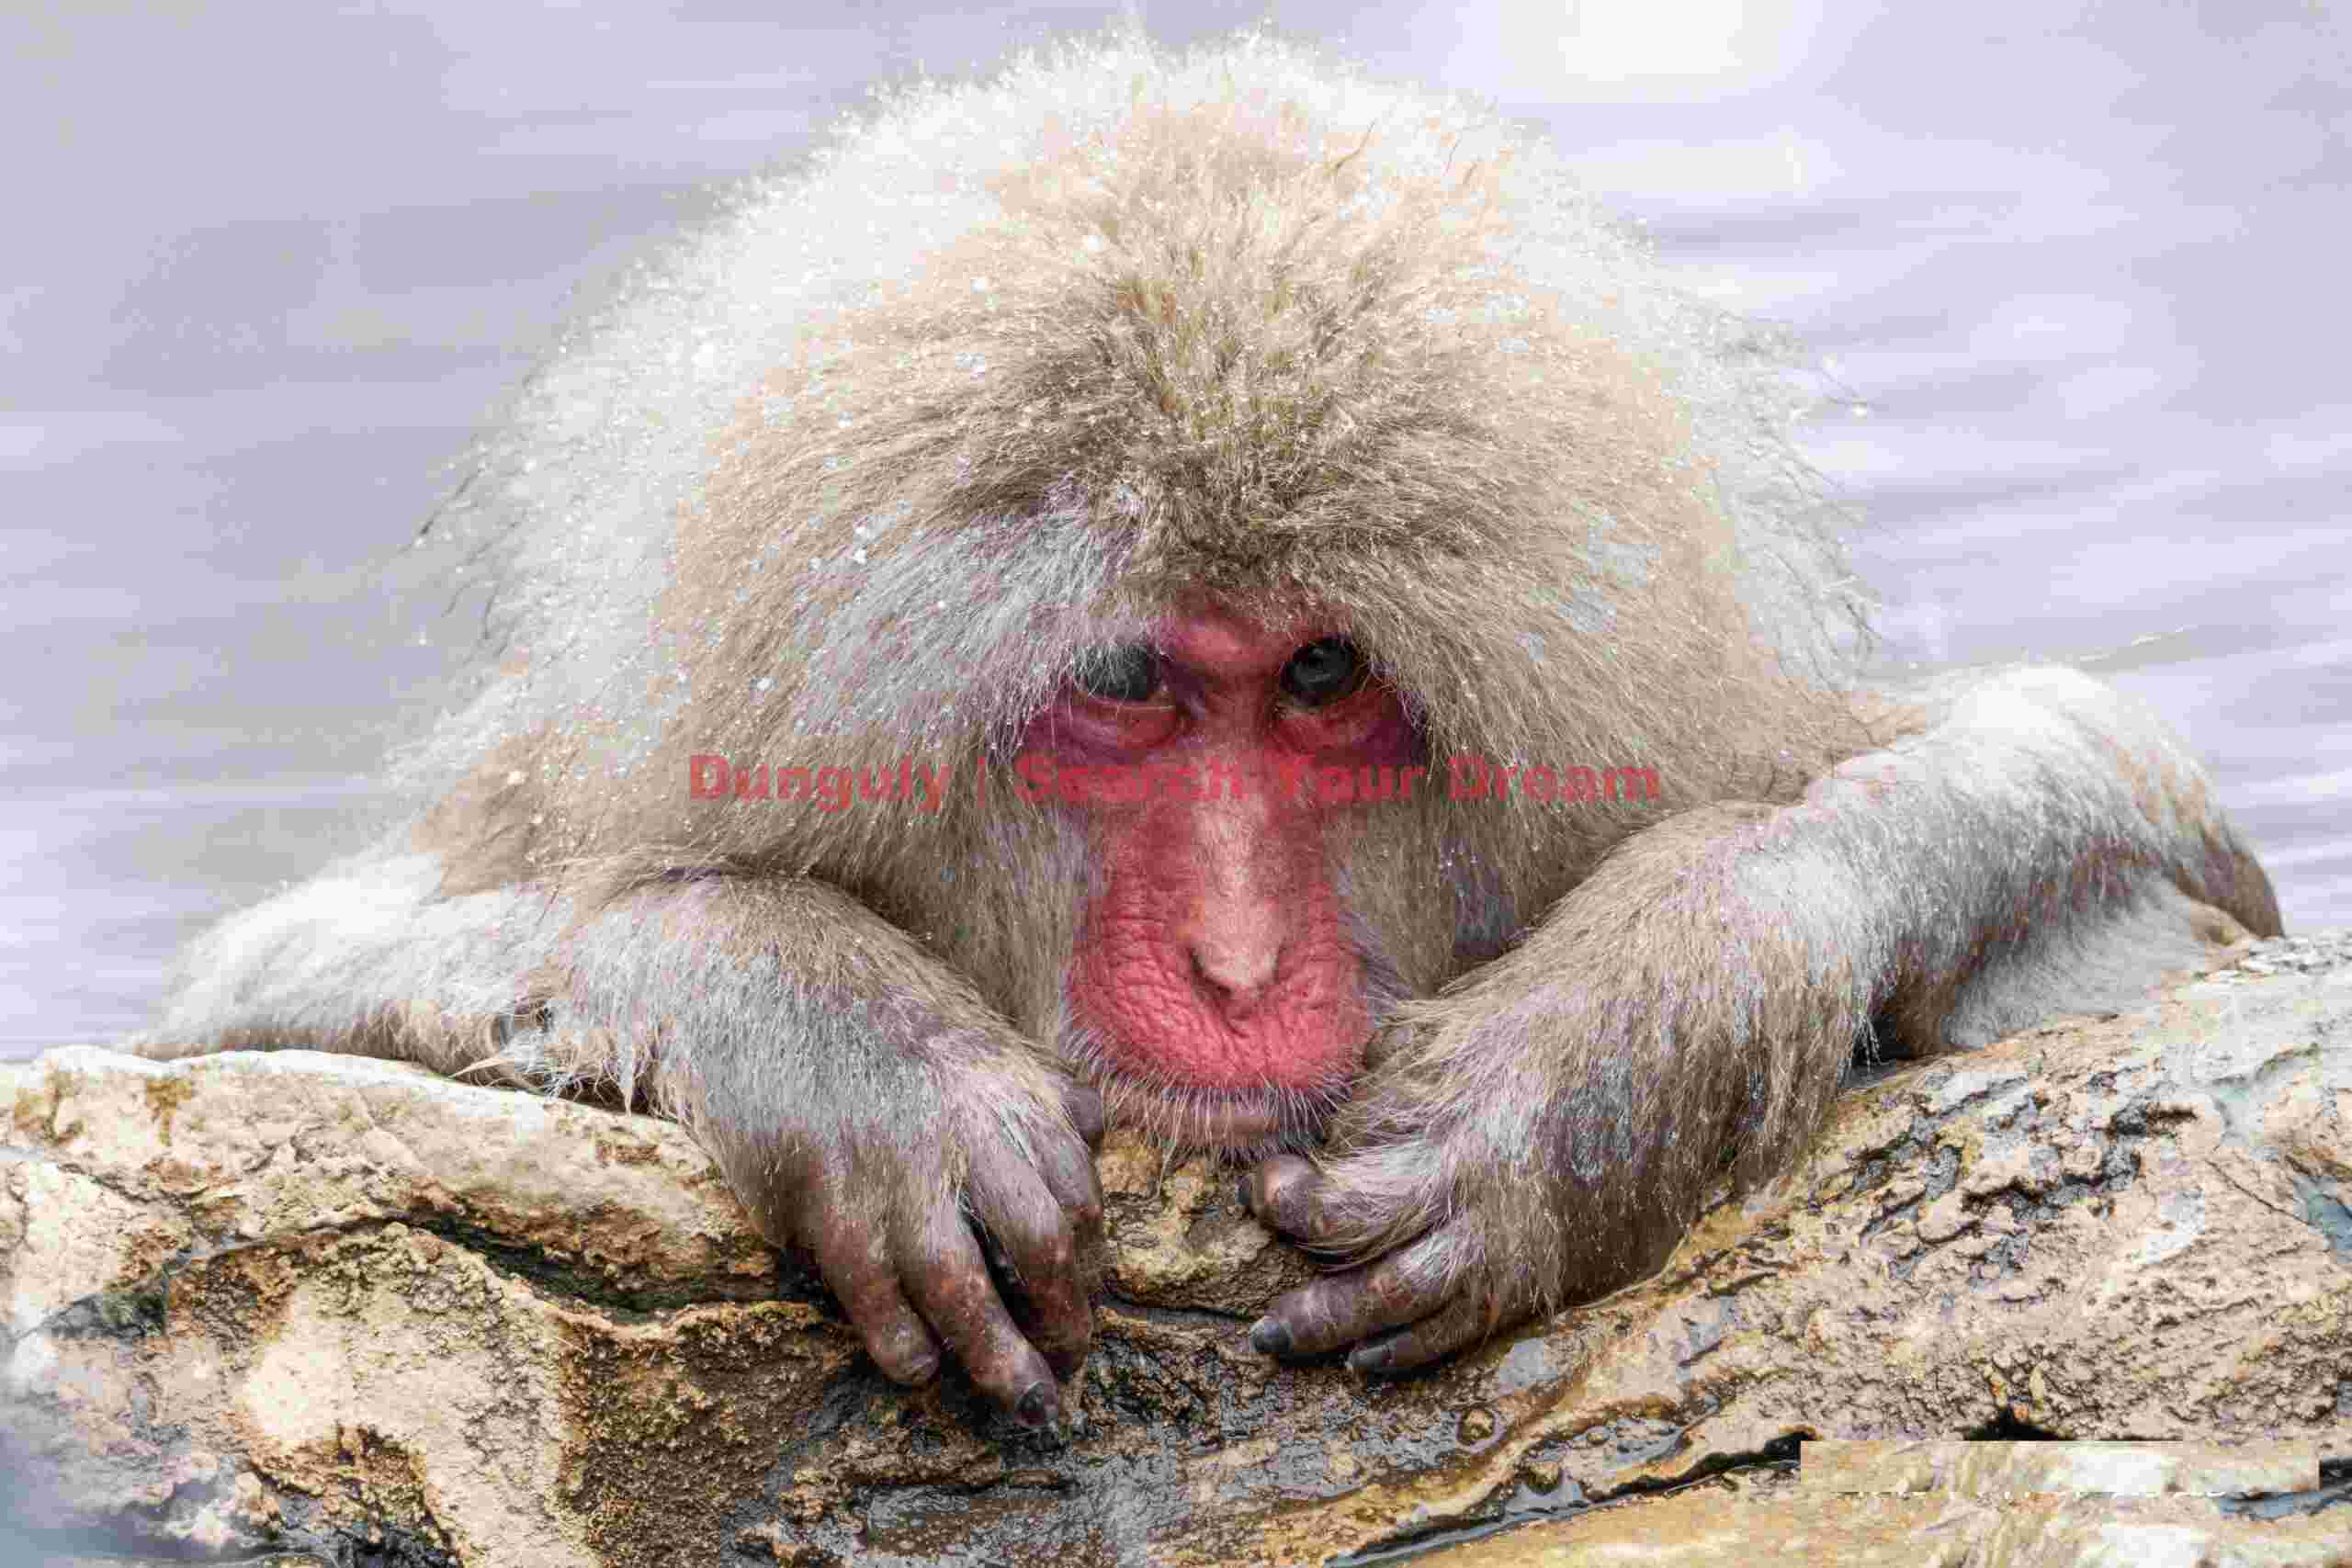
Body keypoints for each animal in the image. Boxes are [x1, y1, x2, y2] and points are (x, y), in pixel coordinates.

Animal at [140, 33, 2280, 1428]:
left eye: (1322, 676)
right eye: (1122, 682)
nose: (1238, 965)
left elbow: (2127, 792)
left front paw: (1590, 1055)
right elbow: (251, 1001)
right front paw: (836, 1033)